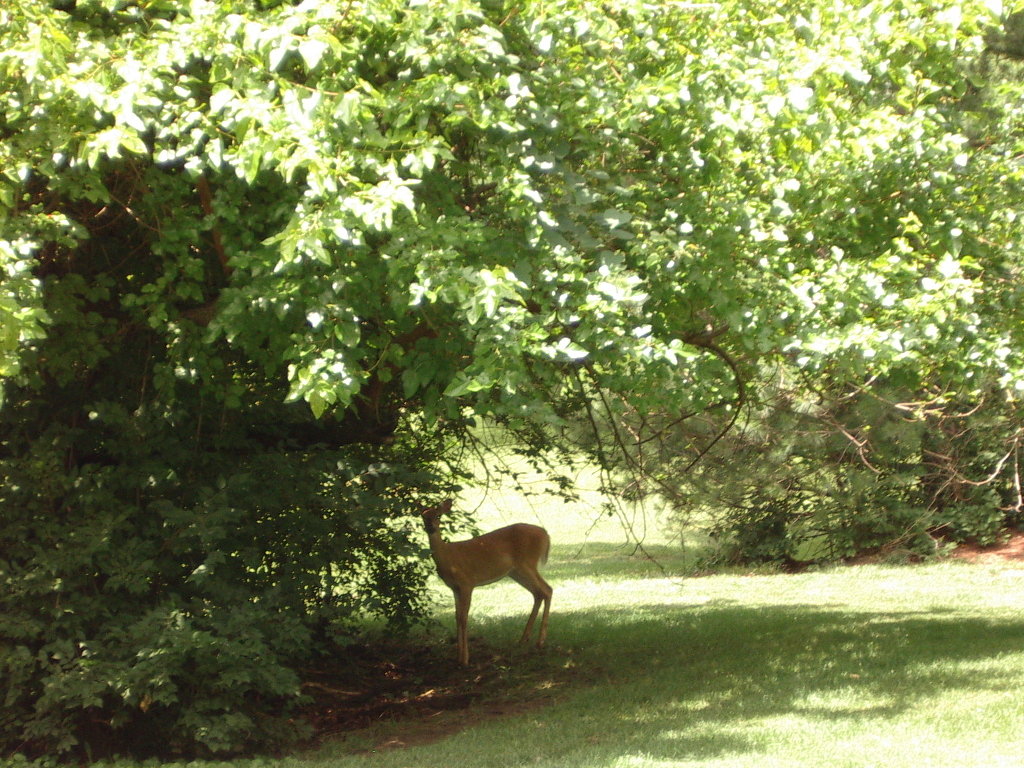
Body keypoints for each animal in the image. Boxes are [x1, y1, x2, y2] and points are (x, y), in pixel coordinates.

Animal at [420, 499, 552, 666]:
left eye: (438, 515)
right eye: (423, 516)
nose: (430, 527)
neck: (448, 558)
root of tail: (546, 535)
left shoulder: (467, 583)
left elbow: (464, 617)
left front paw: (464, 659)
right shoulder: (454, 588)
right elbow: (457, 616)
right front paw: (457, 656)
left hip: (527, 563)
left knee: (547, 589)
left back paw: (540, 641)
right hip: (516, 571)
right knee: (538, 593)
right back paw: (523, 640)